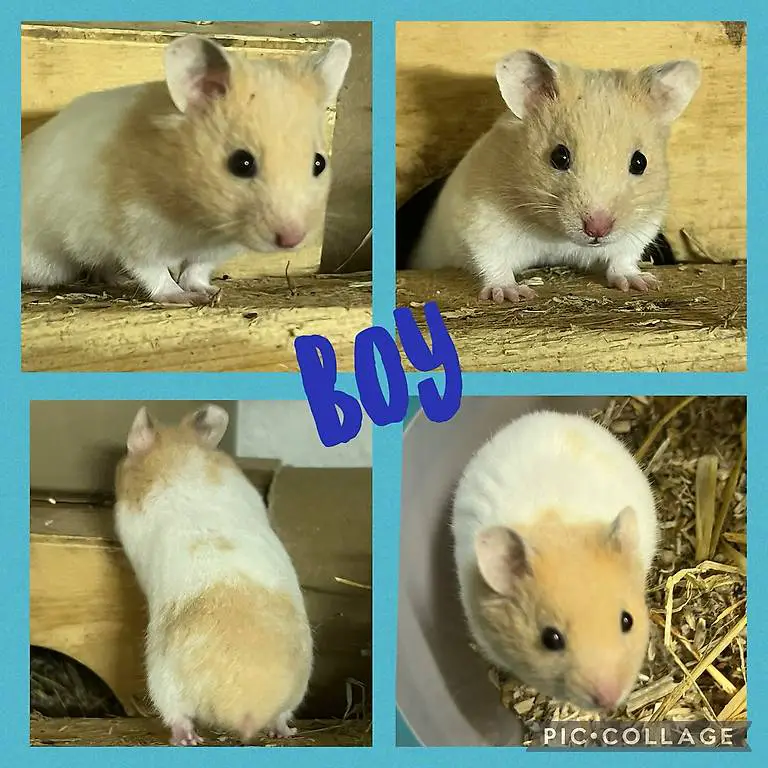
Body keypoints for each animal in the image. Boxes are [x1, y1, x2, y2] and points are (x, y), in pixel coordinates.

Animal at [22, 34, 352, 304]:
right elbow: (155, 273)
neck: (199, 220)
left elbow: (196, 269)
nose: (292, 240)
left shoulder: (215, 248)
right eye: (241, 163)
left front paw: (210, 291)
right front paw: (183, 297)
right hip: (46, 261)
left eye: (319, 162)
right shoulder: (135, 229)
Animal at [114, 404, 312, 745]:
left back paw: (186, 738)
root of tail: (246, 708)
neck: (177, 453)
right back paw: (286, 732)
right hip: (296, 689)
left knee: (177, 717)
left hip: (163, 681)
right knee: (280, 716)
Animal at [411, 50, 700, 303]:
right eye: (559, 157)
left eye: (640, 162)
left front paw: (641, 283)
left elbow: (623, 258)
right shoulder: (480, 220)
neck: (558, 236)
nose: (597, 230)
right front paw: (511, 294)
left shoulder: (643, 225)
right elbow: (493, 260)